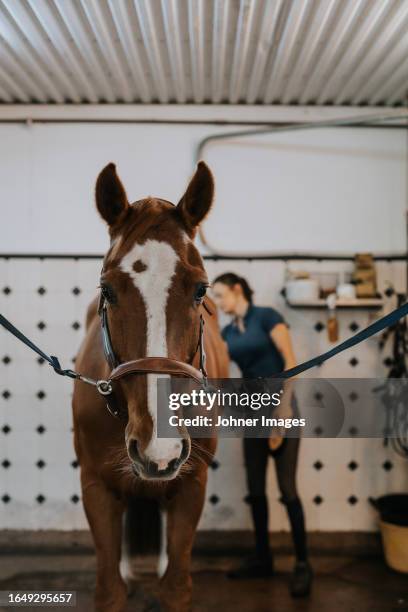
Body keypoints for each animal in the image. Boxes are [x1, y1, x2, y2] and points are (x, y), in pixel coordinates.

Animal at [72, 161, 230, 612]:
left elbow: (176, 588)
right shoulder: (97, 487)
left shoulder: (191, 486)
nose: (158, 447)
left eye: (200, 289)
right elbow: (110, 591)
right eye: (107, 289)